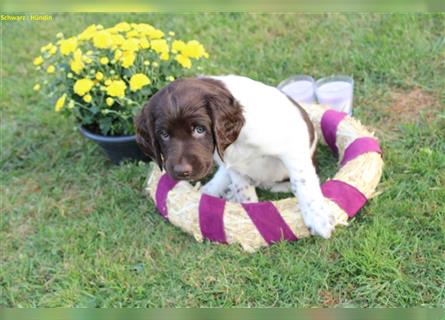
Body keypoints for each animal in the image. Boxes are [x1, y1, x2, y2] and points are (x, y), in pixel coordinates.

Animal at [134, 75, 332, 238]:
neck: (239, 139)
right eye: (163, 134)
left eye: (200, 129)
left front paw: (318, 218)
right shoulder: (235, 166)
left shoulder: (292, 147)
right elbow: (245, 193)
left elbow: (302, 183)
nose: (182, 172)